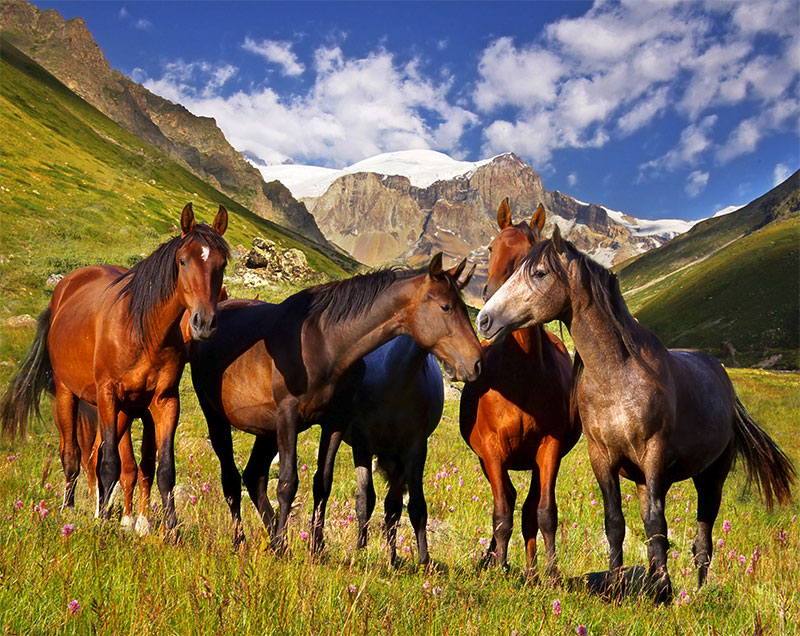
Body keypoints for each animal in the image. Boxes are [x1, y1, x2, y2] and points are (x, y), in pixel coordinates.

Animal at [0, 203, 229, 536]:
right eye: (183, 261)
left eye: (221, 264)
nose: (204, 323)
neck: (143, 331)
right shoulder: (109, 396)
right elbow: (110, 464)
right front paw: (105, 522)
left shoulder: (164, 403)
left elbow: (163, 469)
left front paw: (168, 529)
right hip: (68, 395)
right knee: (73, 455)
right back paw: (70, 509)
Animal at [189, 254, 483, 552]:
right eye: (446, 307)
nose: (476, 362)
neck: (324, 343)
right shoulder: (289, 417)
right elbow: (287, 484)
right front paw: (285, 550)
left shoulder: (334, 422)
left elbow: (322, 483)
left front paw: (315, 548)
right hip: (217, 417)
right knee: (231, 479)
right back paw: (242, 540)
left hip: (267, 430)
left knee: (254, 476)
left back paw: (273, 539)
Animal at [460, 198, 579, 579]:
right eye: (491, 248)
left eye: (532, 257)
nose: (489, 311)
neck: (521, 377)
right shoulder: (491, 450)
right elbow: (501, 512)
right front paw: (498, 568)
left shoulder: (549, 448)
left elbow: (544, 512)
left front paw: (552, 574)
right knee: (510, 503)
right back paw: (498, 559)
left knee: (528, 509)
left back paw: (531, 570)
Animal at [476, 226, 796, 603]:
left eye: (539, 273)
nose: (484, 319)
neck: (617, 377)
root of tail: (722, 379)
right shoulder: (602, 457)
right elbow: (617, 522)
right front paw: (616, 587)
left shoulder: (654, 453)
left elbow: (658, 524)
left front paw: (664, 592)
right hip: (647, 479)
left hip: (710, 477)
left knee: (703, 538)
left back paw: (697, 591)